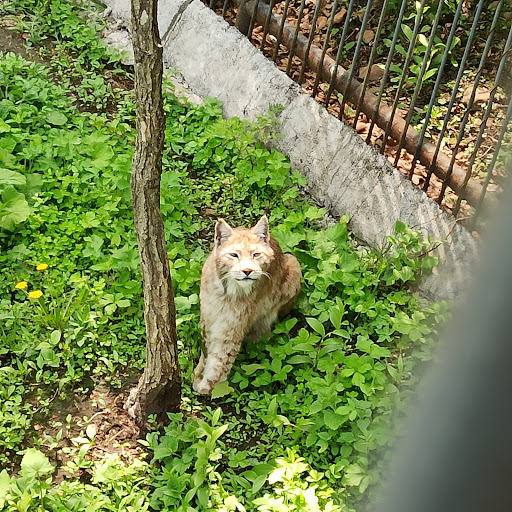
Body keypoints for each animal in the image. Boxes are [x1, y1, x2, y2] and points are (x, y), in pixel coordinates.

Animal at [192, 215, 301, 395]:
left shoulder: (231, 328)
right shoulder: (208, 318)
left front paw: (209, 387)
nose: (247, 271)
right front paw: (198, 374)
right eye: (233, 255)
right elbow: (207, 349)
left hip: (293, 263)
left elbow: (220, 359)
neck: (225, 291)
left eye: (256, 255)